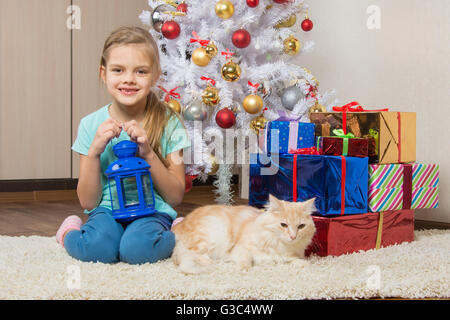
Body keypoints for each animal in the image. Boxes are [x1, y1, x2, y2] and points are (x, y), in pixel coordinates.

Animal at [171, 194, 314, 274]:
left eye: (301, 226)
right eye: (283, 225)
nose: (293, 236)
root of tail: (178, 225)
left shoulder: (287, 257)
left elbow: (297, 261)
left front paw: (307, 265)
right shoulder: (241, 248)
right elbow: (245, 259)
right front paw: (244, 269)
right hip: (209, 236)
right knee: (189, 255)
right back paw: (213, 263)